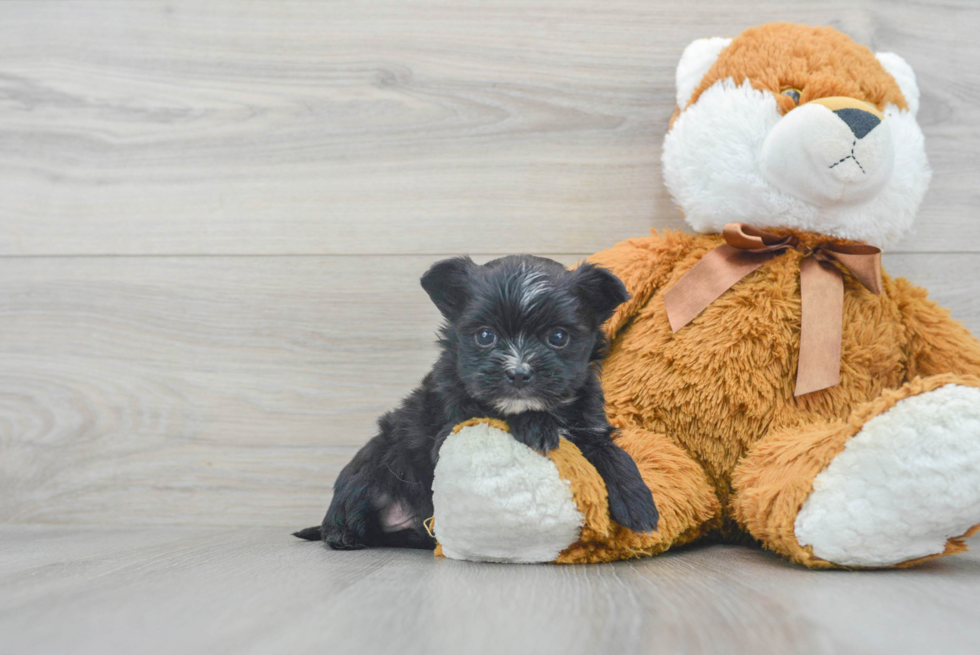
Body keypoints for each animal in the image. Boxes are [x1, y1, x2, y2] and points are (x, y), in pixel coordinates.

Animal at [292, 255, 660, 548]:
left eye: (559, 337)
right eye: (485, 336)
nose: (518, 374)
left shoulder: (590, 425)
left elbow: (615, 453)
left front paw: (639, 502)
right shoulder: (450, 428)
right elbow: (493, 411)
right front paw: (535, 424)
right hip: (373, 463)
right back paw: (341, 534)